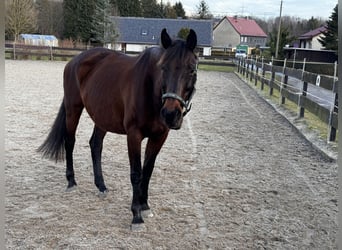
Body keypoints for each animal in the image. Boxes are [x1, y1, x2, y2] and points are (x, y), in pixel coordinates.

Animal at [38, 28, 198, 228]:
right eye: (163, 68)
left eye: (191, 69)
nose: (170, 114)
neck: (151, 90)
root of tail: (74, 61)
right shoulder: (134, 135)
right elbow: (136, 173)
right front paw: (136, 214)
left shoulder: (160, 136)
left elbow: (148, 170)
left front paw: (145, 205)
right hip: (73, 109)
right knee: (70, 142)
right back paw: (71, 181)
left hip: (102, 117)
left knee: (95, 145)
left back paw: (101, 185)